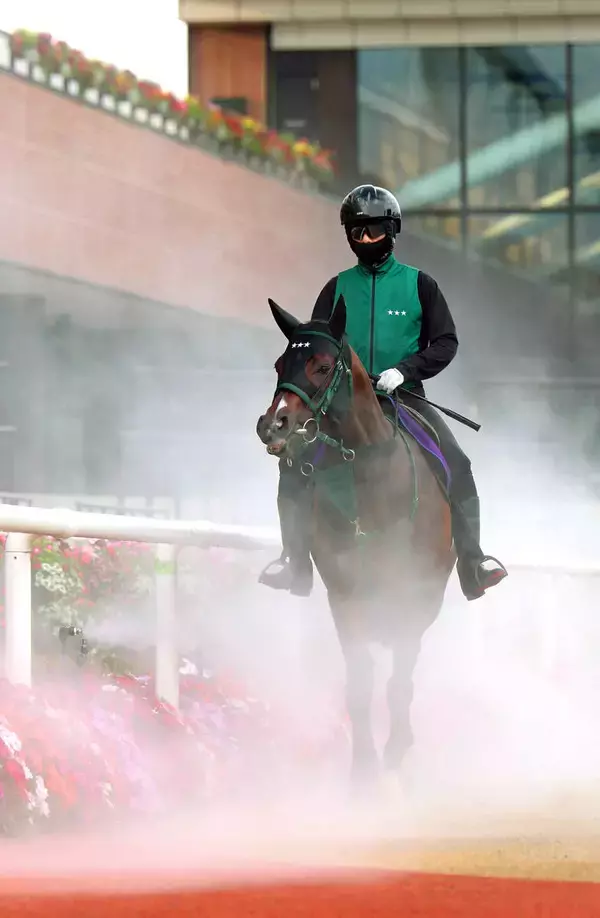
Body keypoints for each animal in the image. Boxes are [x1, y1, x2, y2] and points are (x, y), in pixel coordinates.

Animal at [256, 294, 456, 791]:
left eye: (324, 365)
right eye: (280, 362)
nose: (273, 425)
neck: (372, 481)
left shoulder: (414, 595)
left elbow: (399, 681)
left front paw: (396, 749)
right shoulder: (345, 595)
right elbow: (361, 684)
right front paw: (364, 769)